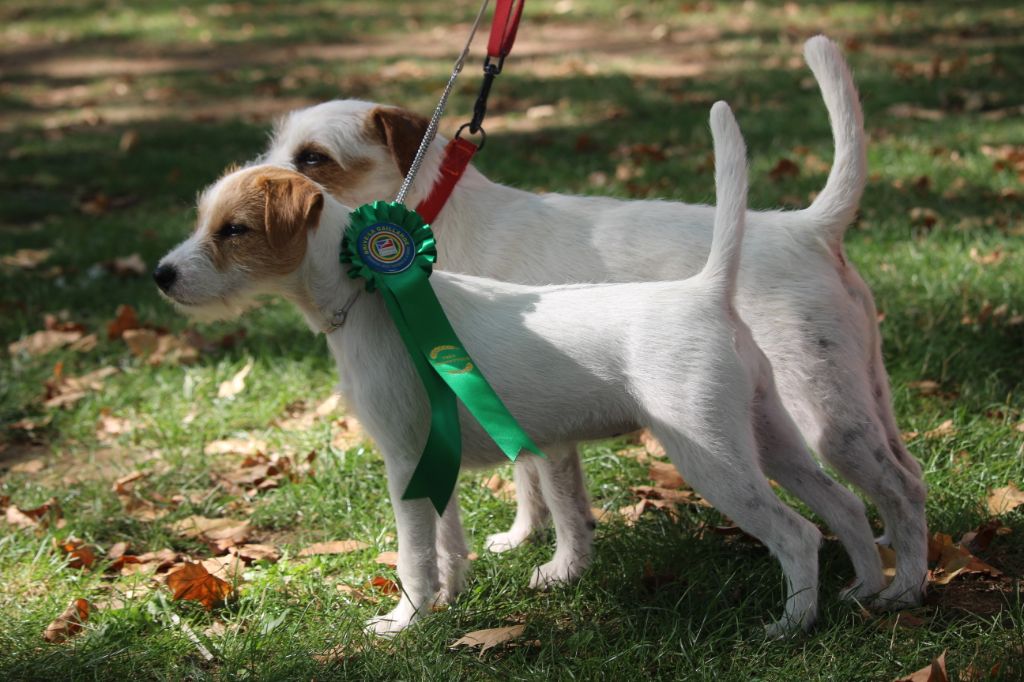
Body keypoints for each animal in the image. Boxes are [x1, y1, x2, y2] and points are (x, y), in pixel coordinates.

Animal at [155, 101, 885, 637]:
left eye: (234, 230)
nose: (162, 275)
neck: (371, 295)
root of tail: (705, 290)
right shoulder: (433, 455)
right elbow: (448, 542)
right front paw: (449, 600)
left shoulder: (403, 461)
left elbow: (414, 555)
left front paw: (405, 621)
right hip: (774, 437)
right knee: (848, 507)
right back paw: (869, 591)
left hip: (712, 457)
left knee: (799, 534)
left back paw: (792, 625)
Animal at [261, 35, 927, 607]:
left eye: (313, 159)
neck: (434, 223)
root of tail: (808, 227)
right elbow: (532, 484)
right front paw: (523, 538)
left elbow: (556, 497)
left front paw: (560, 567)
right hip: (858, 398)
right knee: (904, 476)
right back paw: (882, 561)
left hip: (823, 418)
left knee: (899, 488)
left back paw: (903, 590)